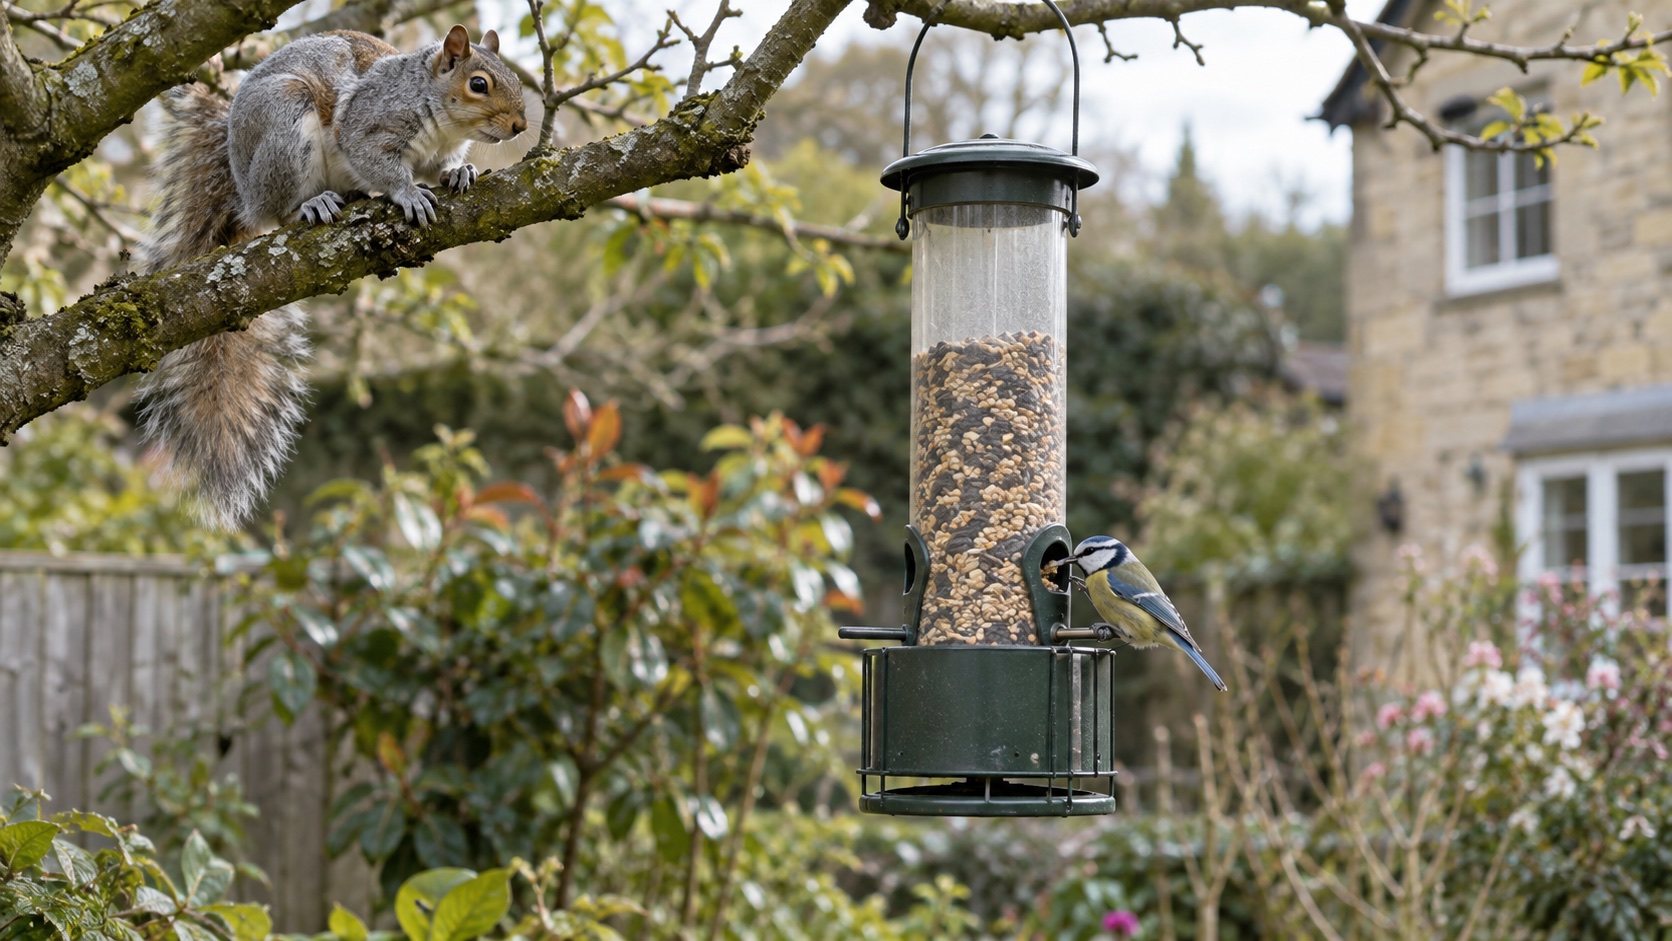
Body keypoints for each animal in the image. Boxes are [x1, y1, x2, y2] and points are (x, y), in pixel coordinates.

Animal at [138, 25, 527, 529]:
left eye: (515, 78)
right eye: (479, 84)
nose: (521, 126)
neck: (439, 116)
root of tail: (244, 189)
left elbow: (440, 167)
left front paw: (459, 171)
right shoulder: (368, 126)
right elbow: (378, 162)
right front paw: (407, 192)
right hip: (285, 127)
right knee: (280, 209)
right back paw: (311, 204)